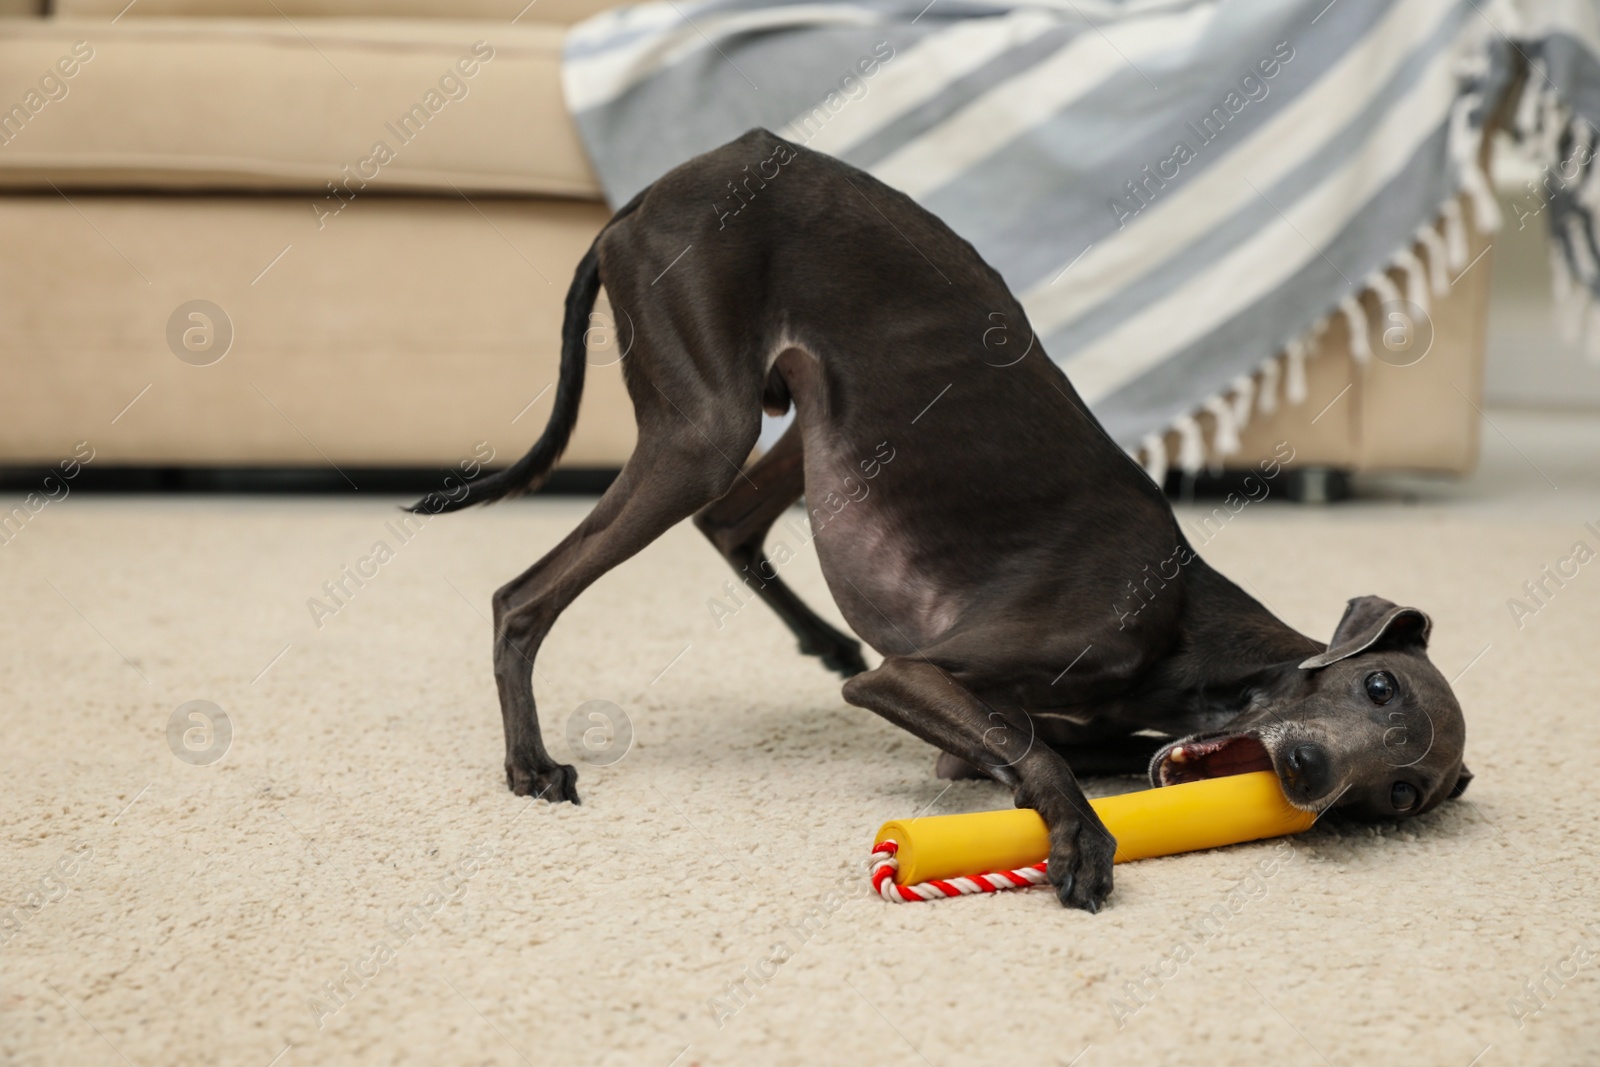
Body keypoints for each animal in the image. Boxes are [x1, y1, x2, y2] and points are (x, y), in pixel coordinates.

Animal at [416, 125, 1472, 908]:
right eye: (1378, 686)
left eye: (1399, 792)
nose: (1307, 771)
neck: (1190, 633)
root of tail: (644, 198)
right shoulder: (917, 674)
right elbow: (1028, 748)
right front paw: (1080, 835)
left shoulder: (996, 733)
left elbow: (1031, 745)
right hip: (709, 424)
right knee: (525, 594)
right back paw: (531, 763)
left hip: (816, 415)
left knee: (728, 522)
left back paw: (817, 637)